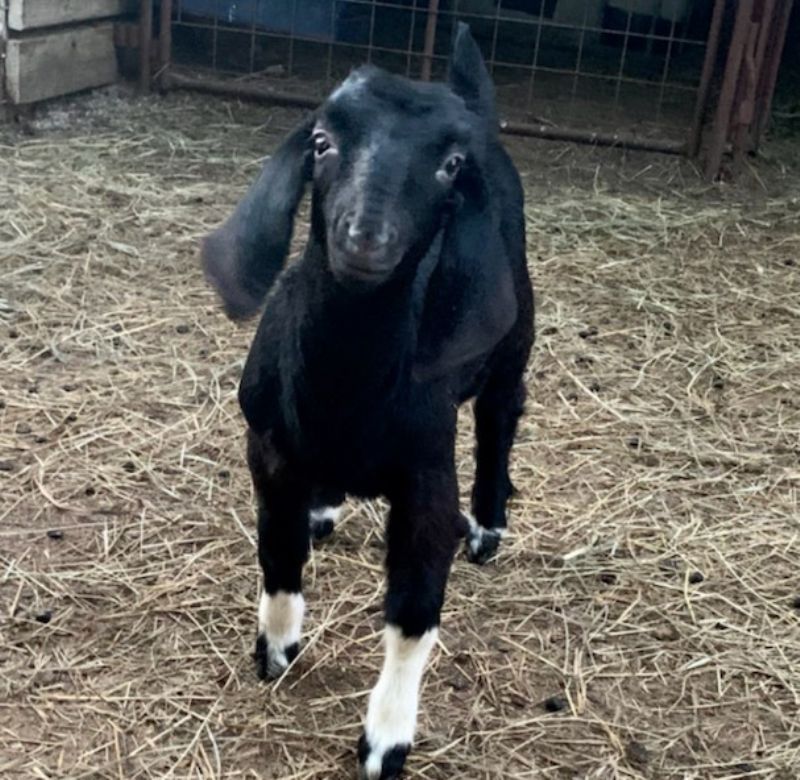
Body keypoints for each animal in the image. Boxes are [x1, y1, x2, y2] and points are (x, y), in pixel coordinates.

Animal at [203, 24, 536, 780]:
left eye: (449, 166)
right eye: (322, 141)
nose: (364, 236)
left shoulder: (426, 479)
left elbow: (414, 614)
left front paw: (385, 742)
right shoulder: (268, 447)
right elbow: (277, 549)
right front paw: (276, 649)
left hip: (516, 334)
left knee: (500, 415)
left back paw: (489, 527)